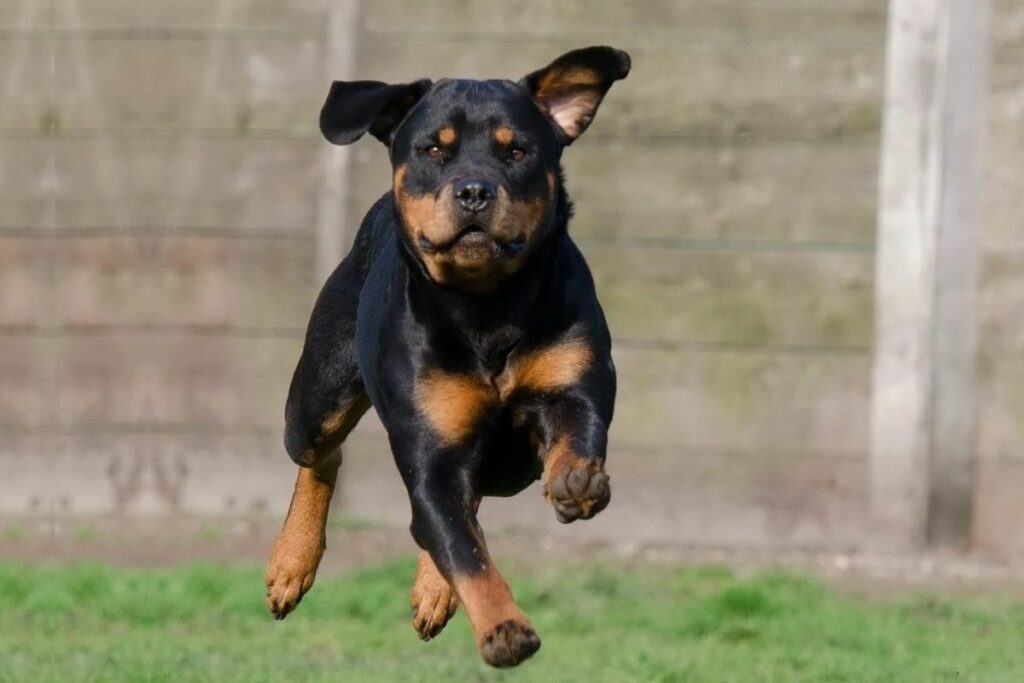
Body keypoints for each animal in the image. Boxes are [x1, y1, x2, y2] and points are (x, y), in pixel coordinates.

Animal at [264, 46, 626, 667]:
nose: (475, 190)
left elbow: (575, 431)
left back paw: (432, 589)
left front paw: (576, 479)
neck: (487, 306)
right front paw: (504, 628)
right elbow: (463, 549)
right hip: (316, 400)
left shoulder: (573, 382)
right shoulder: (430, 444)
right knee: (324, 456)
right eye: (434, 149)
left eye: (517, 150)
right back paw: (291, 565)